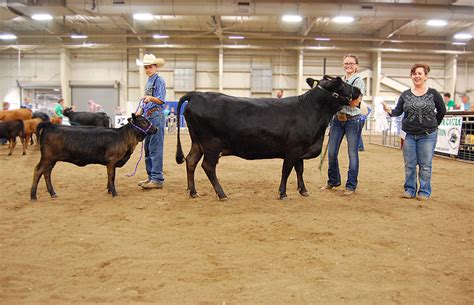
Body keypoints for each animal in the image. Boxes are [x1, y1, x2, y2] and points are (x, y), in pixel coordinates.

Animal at [176, 75, 362, 200]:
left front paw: (303, 190)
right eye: (342, 83)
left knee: (191, 161)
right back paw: (222, 194)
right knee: (208, 166)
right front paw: (283, 193)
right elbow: (286, 170)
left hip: (197, 143)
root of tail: (196, 95)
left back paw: (193, 192)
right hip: (211, 145)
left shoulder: (300, 150)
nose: (359, 89)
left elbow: (299, 170)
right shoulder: (292, 149)